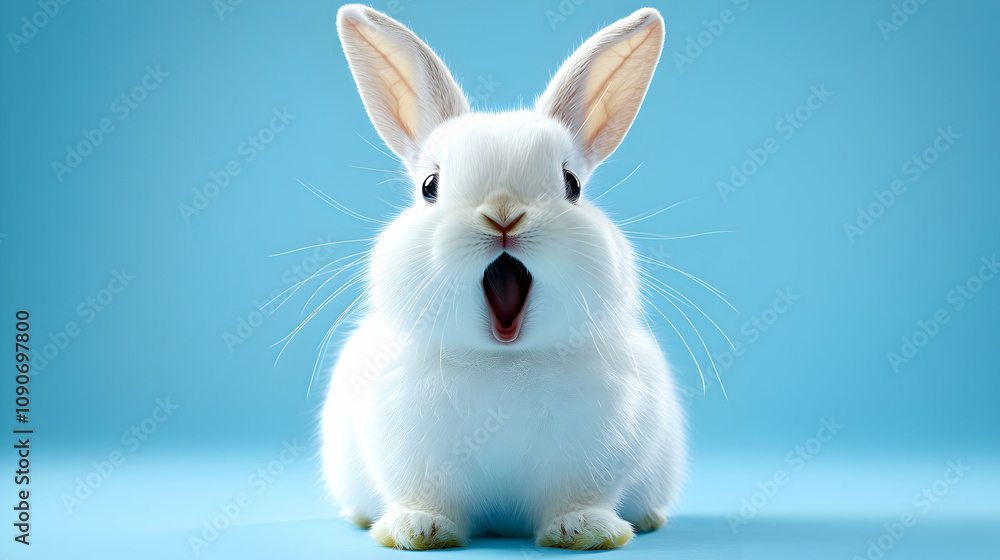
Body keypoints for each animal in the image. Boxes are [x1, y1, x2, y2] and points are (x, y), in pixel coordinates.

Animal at [321, 4, 684, 551]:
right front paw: (418, 530)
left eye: (572, 184)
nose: (504, 215)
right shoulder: (410, 455)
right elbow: (423, 495)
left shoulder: (594, 454)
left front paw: (584, 531)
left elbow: (578, 496)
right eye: (430, 186)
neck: (503, 360)